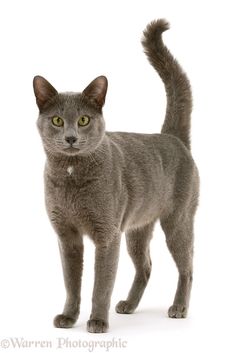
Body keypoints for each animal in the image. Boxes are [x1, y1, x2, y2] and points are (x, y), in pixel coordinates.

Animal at [33, 18, 199, 332]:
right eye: (57, 120)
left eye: (84, 120)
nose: (71, 137)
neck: (71, 174)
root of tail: (172, 138)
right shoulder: (67, 235)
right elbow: (72, 282)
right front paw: (68, 317)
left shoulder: (107, 234)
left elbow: (101, 283)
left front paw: (97, 321)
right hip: (137, 228)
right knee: (146, 266)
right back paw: (129, 305)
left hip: (177, 220)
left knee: (187, 265)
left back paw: (179, 307)